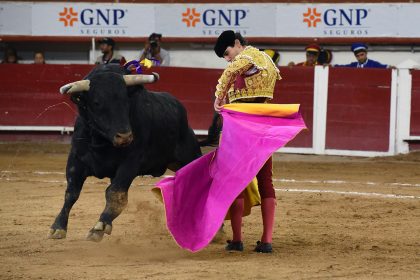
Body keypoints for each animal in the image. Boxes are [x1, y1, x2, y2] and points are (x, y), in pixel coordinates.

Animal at [47, 64, 202, 242]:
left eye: (125, 101)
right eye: (97, 102)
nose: (125, 136)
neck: (102, 141)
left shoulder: (130, 163)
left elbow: (115, 193)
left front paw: (99, 227)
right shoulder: (76, 159)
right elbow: (71, 193)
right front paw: (58, 227)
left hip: (189, 156)